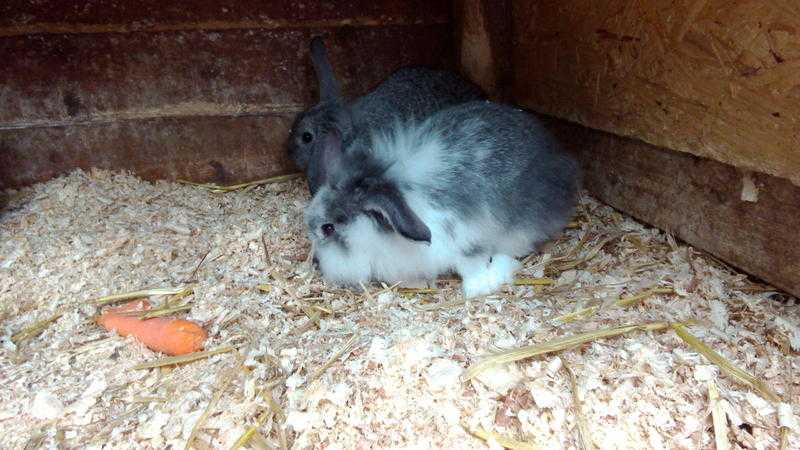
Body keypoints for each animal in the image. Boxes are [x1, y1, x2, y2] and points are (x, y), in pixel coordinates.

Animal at [304, 102, 580, 298]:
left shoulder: (467, 241)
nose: (316, 263)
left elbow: (472, 265)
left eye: (328, 228)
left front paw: (480, 286)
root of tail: (558, 157)